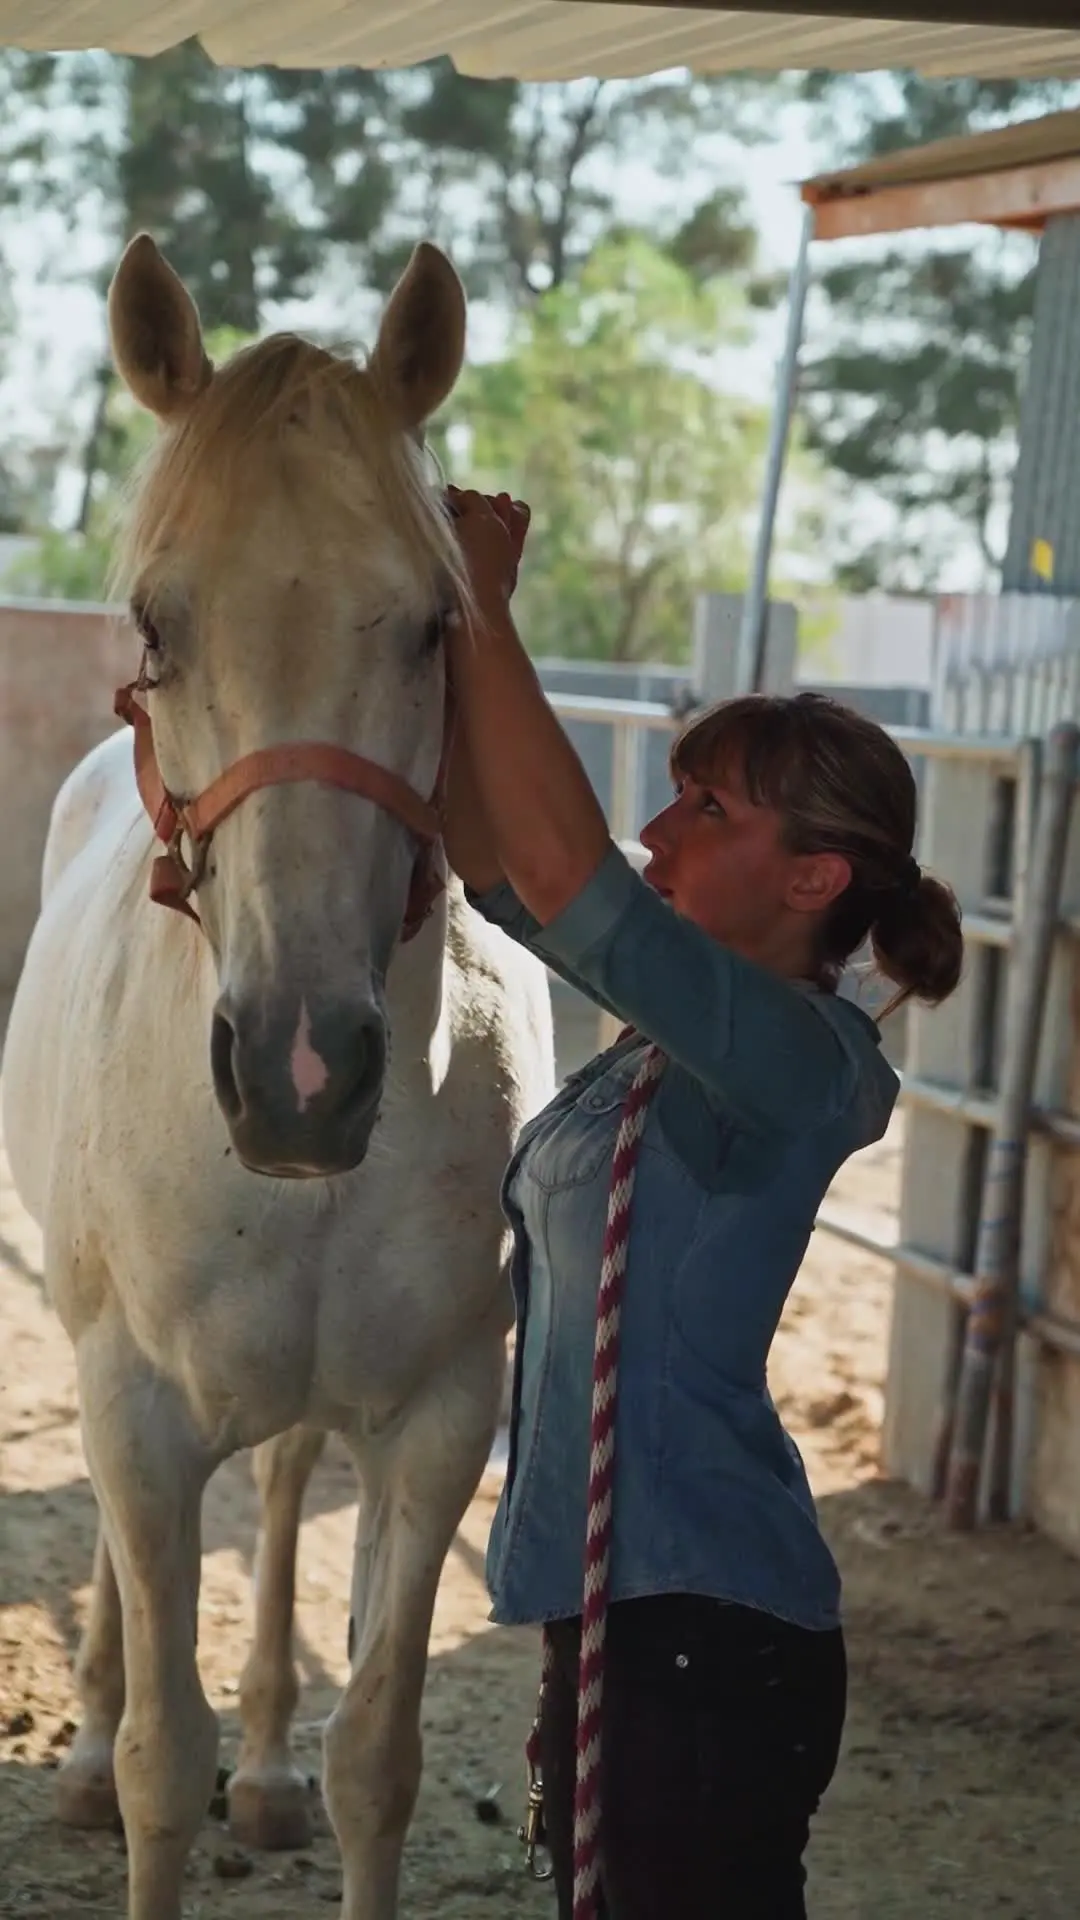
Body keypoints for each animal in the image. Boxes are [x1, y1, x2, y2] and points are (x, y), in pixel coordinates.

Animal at [0, 233, 554, 1920]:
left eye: (434, 625)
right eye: (153, 626)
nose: (302, 1074)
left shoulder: (442, 1417)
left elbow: (380, 1755)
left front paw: (293, 1765)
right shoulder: (135, 1413)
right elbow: (155, 1764)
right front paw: (117, 1754)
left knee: (297, 1471)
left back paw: (267, 1765)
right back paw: (82, 1740)